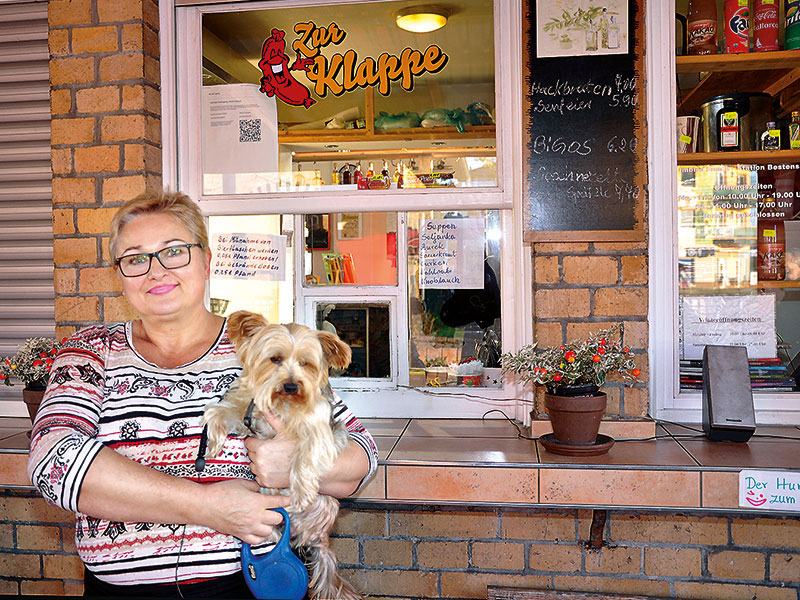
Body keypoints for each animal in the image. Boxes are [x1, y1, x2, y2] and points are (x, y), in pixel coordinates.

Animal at [202, 312, 360, 596]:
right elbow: (215, 412)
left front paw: (301, 492)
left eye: (305, 363)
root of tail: (318, 540)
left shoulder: (321, 432)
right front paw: (213, 444)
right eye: (275, 359)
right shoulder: (246, 412)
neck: (282, 405)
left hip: (325, 506)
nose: (291, 386)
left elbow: (304, 457)